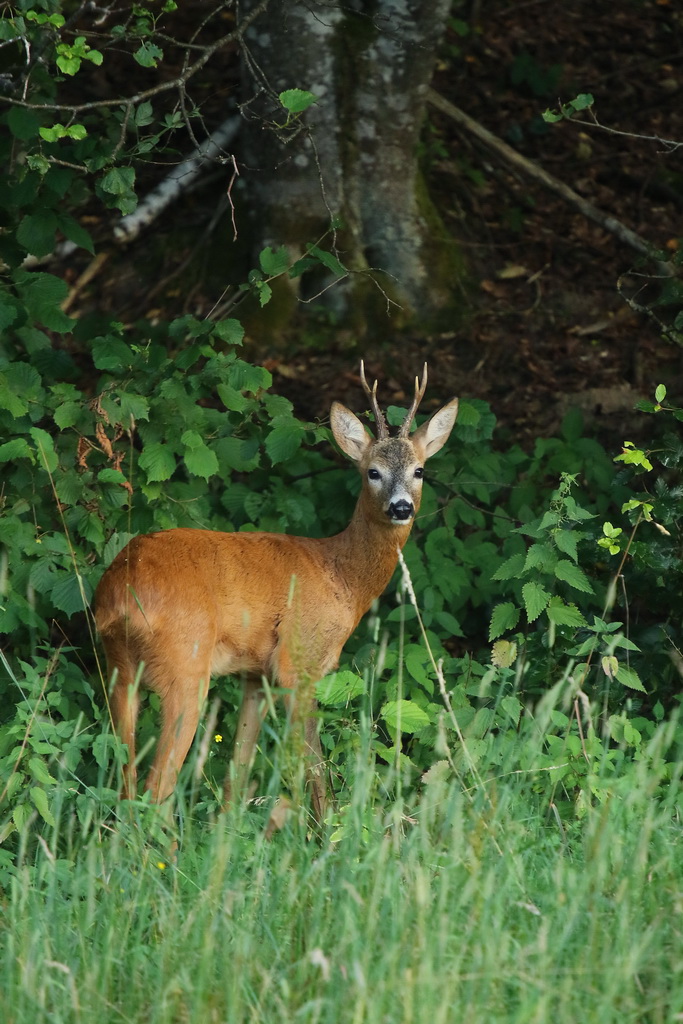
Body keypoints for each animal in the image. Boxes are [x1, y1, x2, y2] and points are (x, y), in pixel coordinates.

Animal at [94, 364, 458, 819]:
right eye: (373, 471)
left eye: (419, 470)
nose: (401, 507)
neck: (342, 578)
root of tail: (118, 596)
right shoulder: (297, 661)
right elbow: (315, 768)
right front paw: (326, 828)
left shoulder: (256, 674)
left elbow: (238, 772)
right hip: (185, 665)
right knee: (155, 787)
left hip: (118, 670)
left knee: (124, 780)